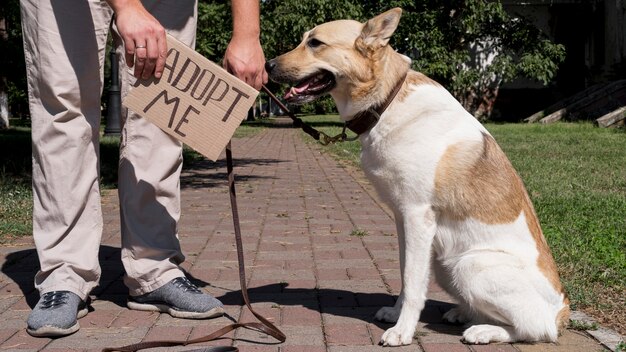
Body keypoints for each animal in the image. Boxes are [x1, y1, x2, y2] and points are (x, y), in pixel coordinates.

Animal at [266, 6, 568, 346]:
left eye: (315, 43)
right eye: (303, 39)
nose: (267, 65)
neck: (386, 103)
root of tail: (562, 310)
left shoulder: (416, 216)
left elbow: (412, 283)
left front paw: (403, 331)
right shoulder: (402, 218)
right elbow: (404, 274)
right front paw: (396, 314)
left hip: (469, 265)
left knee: (535, 328)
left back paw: (482, 330)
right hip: (443, 264)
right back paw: (462, 313)